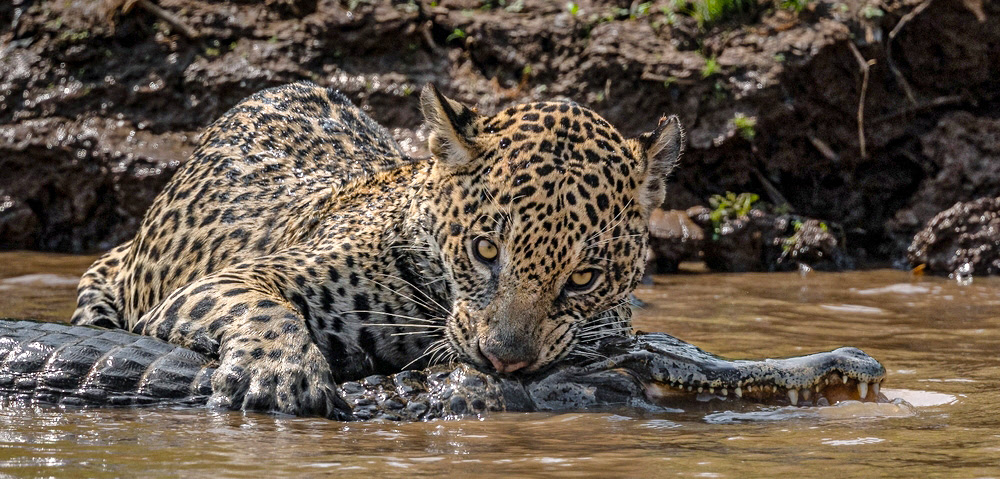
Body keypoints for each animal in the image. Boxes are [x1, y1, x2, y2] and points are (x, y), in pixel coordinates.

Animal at [70, 81, 684, 419]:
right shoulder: (224, 281)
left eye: (583, 278)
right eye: (486, 249)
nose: (506, 361)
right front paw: (280, 374)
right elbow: (266, 309)